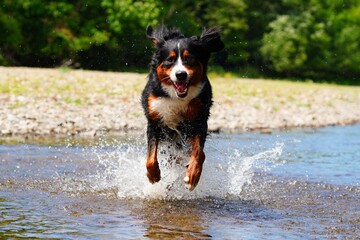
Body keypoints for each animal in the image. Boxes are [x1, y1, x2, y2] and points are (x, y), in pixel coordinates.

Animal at [140, 25, 222, 191]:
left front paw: (192, 176)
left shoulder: (199, 121)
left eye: (189, 58)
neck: (176, 97)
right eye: (170, 60)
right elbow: (150, 157)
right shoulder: (154, 120)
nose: (181, 74)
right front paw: (154, 175)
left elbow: (198, 153)